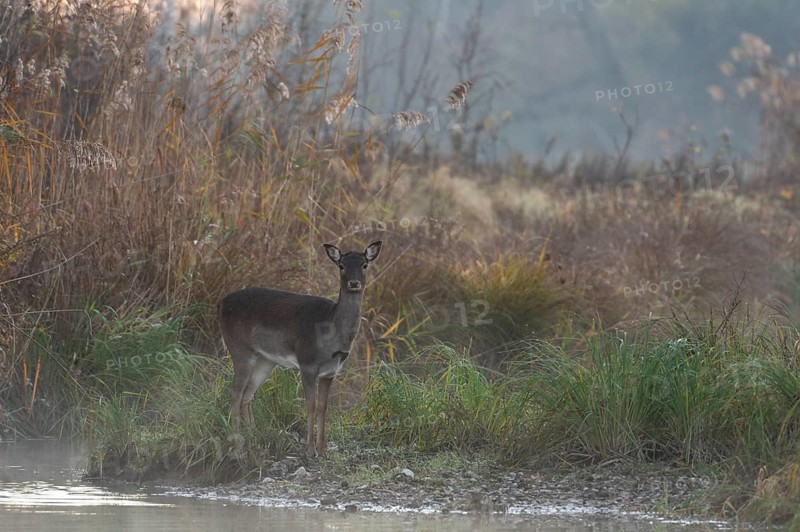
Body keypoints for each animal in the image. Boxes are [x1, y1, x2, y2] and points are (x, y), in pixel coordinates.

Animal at [218, 241, 382, 457]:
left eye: (365, 264)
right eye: (341, 265)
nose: (354, 283)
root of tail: (220, 304)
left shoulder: (330, 372)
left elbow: (323, 406)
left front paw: (322, 450)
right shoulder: (307, 364)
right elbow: (310, 405)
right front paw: (309, 450)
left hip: (265, 360)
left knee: (247, 394)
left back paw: (254, 439)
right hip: (239, 349)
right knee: (235, 394)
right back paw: (238, 447)